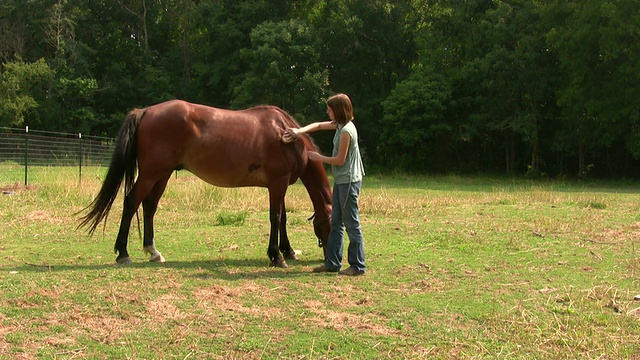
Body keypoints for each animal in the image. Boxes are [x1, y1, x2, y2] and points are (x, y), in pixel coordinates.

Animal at [77, 98, 332, 268]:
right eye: (332, 222)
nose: (331, 258)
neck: (286, 135)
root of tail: (146, 111)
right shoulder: (278, 184)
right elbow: (276, 217)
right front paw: (277, 256)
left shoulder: (280, 185)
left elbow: (283, 218)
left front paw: (288, 251)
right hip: (151, 173)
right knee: (131, 202)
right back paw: (123, 252)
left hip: (163, 174)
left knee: (149, 207)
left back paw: (153, 251)